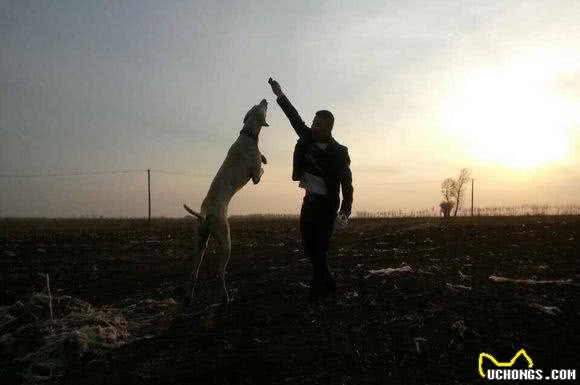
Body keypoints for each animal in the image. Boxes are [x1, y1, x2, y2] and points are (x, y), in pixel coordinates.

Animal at [184, 100, 270, 304]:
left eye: (256, 104)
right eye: (260, 107)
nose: (265, 99)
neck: (247, 135)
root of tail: (206, 214)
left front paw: (264, 156)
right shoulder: (255, 176)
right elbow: (260, 171)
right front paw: (264, 159)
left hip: (201, 241)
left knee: (194, 272)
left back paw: (189, 297)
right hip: (226, 241)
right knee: (219, 273)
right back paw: (226, 297)